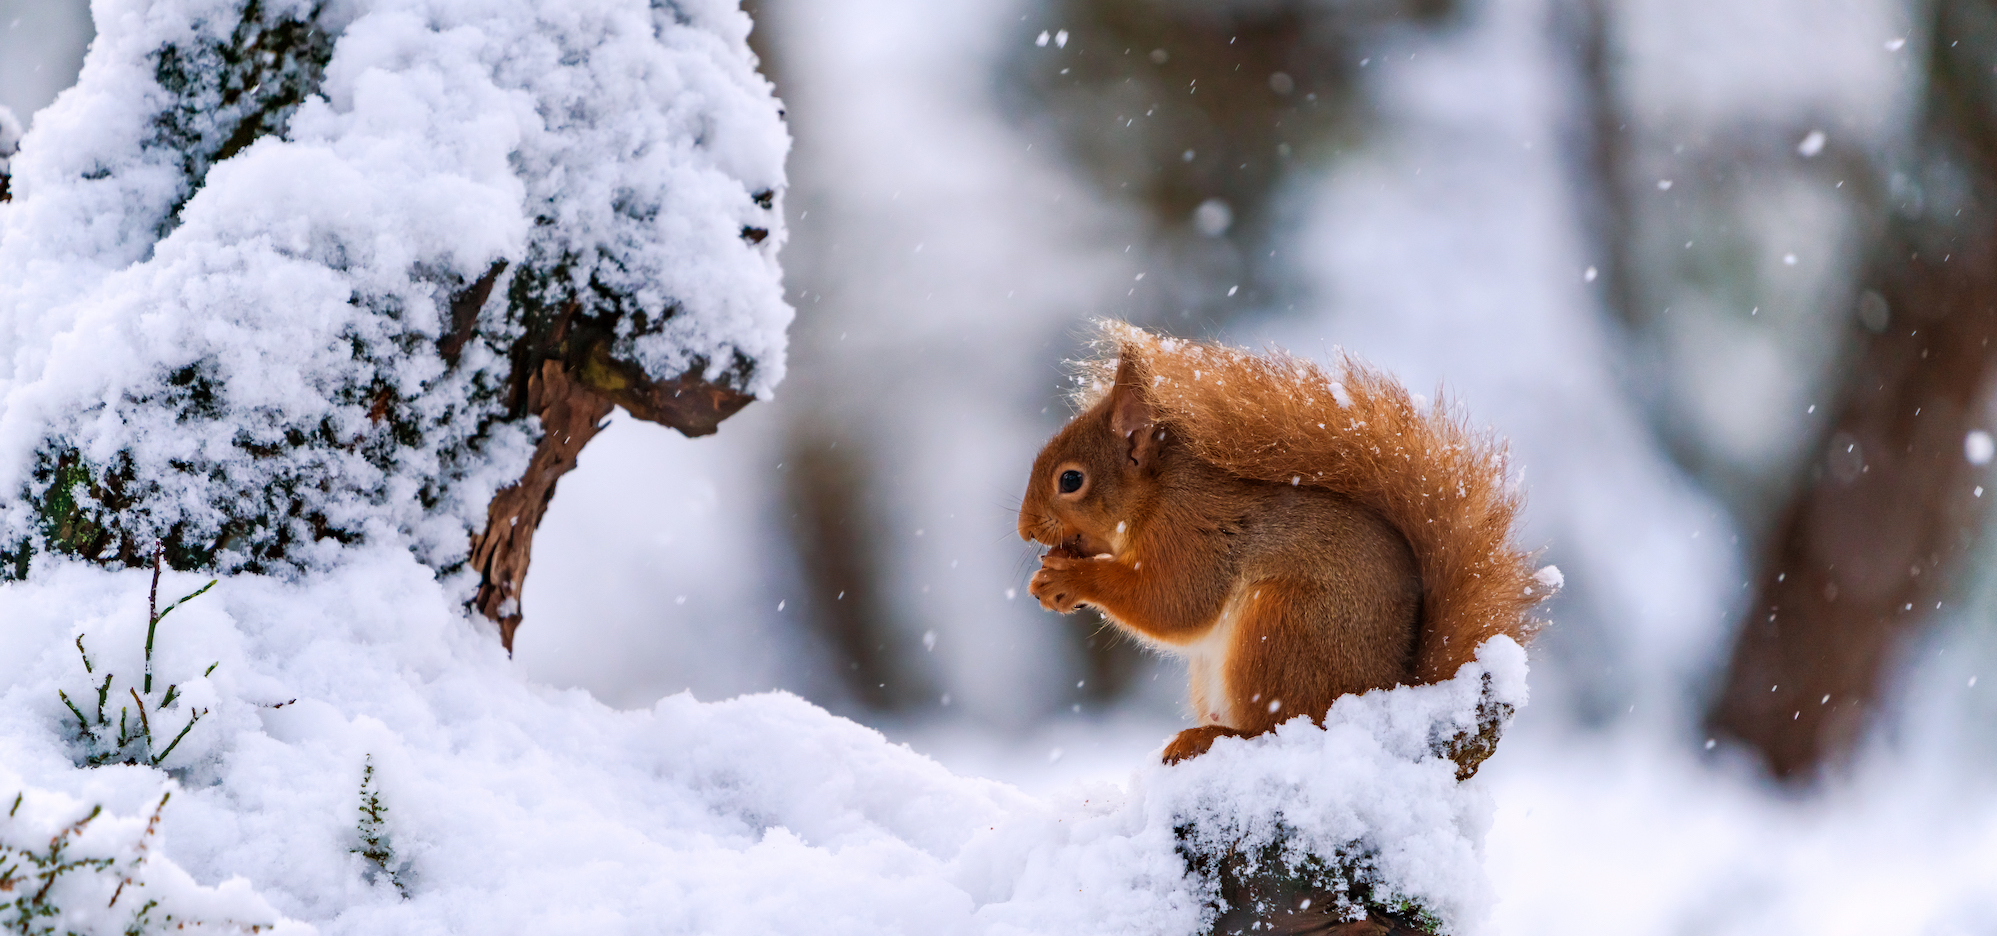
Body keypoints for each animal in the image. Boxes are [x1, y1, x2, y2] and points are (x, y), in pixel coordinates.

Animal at [1014, 321, 1541, 758]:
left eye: (1070, 480)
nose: (1024, 529)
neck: (1156, 497)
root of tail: (1391, 687)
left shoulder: (1194, 534)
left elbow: (1174, 604)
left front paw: (1070, 580)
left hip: (1281, 625)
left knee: (1276, 727)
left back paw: (1208, 738)